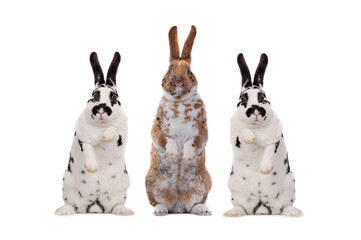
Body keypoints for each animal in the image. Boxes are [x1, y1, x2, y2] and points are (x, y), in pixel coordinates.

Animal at [53, 52, 132, 216]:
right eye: (95, 96)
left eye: (113, 97)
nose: (101, 109)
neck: (100, 126)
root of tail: (95, 206)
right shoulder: (82, 136)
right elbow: (88, 149)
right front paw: (92, 168)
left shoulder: (122, 128)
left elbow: (114, 127)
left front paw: (107, 137)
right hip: (67, 182)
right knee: (72, 205)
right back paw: (63, 211)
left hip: (124, 185)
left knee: (115, 206)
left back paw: (123, 211)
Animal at [144, 25, 211, 216]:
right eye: (169, 70)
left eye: (188, 70)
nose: (178, 82)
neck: (180, 101)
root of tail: (179, 205)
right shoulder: (157, 128)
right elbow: (164, 138)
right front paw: (174, 154)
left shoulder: (202, 131)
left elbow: (194, 141)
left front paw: (186, 157)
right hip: (150, 181)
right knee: (158, 202)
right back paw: (160, 210)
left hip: (205, 182)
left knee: (195, 204)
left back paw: (203, 210)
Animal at [225, 53, 300, 217]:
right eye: (243, 98)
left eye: (262, 97)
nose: (256, 110)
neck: (256, 127)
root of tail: (261, 207)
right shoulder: (235, 132)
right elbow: (243, 130)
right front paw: (250, 138)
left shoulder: (275, 138)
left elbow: (269, 150)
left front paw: (265, 169)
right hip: (233, 186)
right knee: (241, 207)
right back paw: (233, 213)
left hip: (290, 184)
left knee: (286, 206)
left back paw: (293, 212)